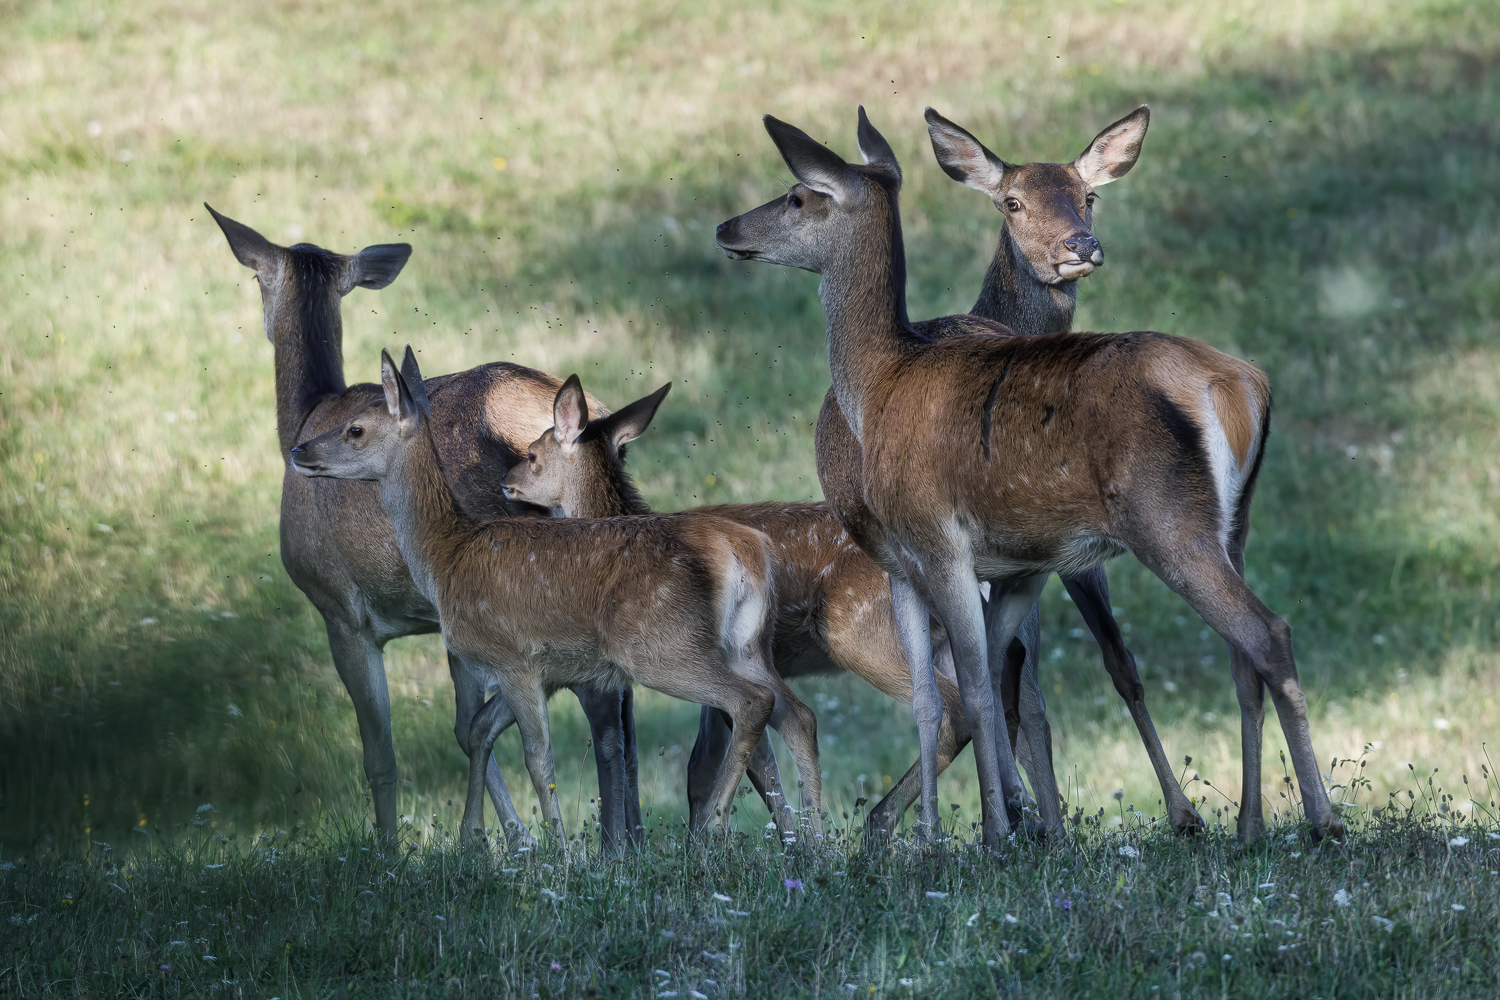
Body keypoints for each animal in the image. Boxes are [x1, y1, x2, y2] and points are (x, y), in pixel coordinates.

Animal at [207, 207, 644, 849]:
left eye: (259, 278)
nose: (301, 455)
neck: (308, 414)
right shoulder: (450, 618)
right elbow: (468, 726)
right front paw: (505, 839)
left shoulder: (342, 611)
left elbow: (385, 753)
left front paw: (398, 848)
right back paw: (638, 835)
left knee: (600, 708)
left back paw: (615, 843)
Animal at [288, 347, 826, 845]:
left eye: (354, 429)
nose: (298, 450)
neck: (445, 555)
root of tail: (746, 555)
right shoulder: (547, 670)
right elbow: (481, 729)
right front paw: (478, 838)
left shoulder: (513, 658)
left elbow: (537, 756)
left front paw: (556, 851)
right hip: (746, 647)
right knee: (796, 713)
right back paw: (810, 841)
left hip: (661, 650)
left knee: (750, 705)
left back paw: (713, 828)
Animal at [501, 373, 973, 839]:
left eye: (532, 453)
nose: (506, 481)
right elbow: (716, 767)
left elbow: (746, 765)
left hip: (861, 631)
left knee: (950, 709)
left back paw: (882, 823)